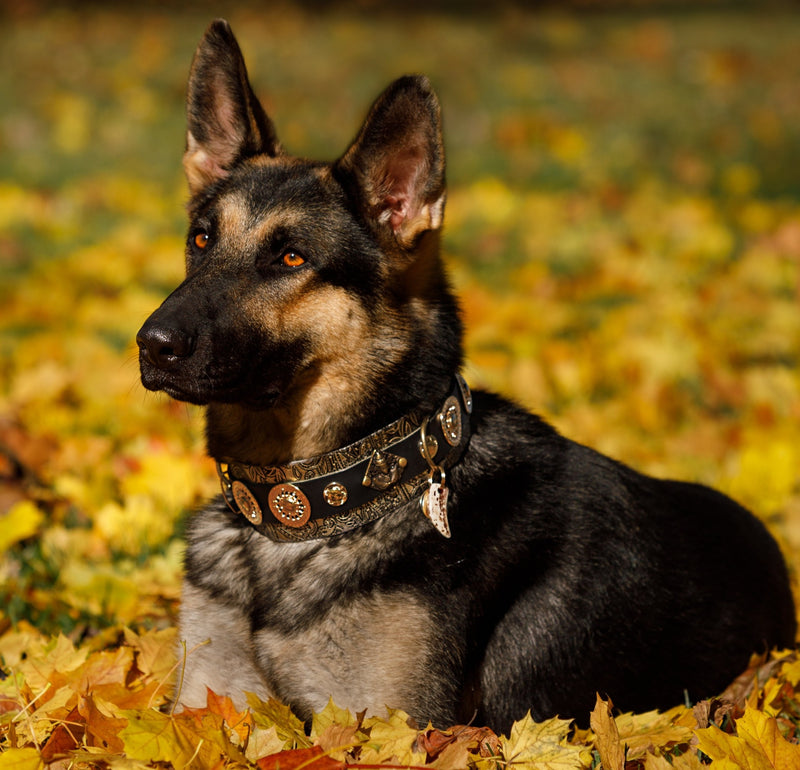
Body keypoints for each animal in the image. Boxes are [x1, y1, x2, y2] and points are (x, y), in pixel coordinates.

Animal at [136, 15, 792, 728]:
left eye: (290, 258)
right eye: (202, 239)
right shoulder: (204, 704)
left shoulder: (385, 725)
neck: (306, 511)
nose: (152, 344)